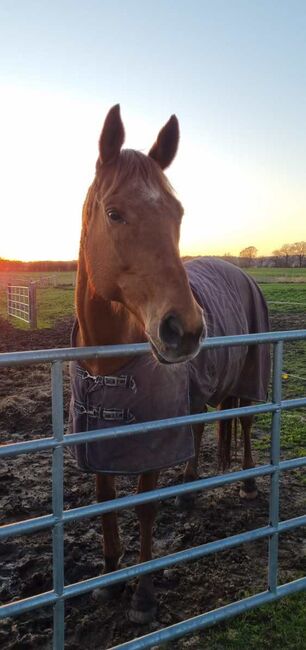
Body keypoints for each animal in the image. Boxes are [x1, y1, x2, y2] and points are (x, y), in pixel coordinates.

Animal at [74, 106, 270, 624]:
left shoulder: (154, 435)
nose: (185, 329)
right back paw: (187, 488)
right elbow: (103, 500)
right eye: (114, 213)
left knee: (243, 421)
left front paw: (142, 596)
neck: (111, 363)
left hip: (249, 375)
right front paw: (109, 578)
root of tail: (238, 269)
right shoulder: (95, 437)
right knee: (202, 425)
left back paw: (245, 484)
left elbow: (144, 507)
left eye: (177, 214)